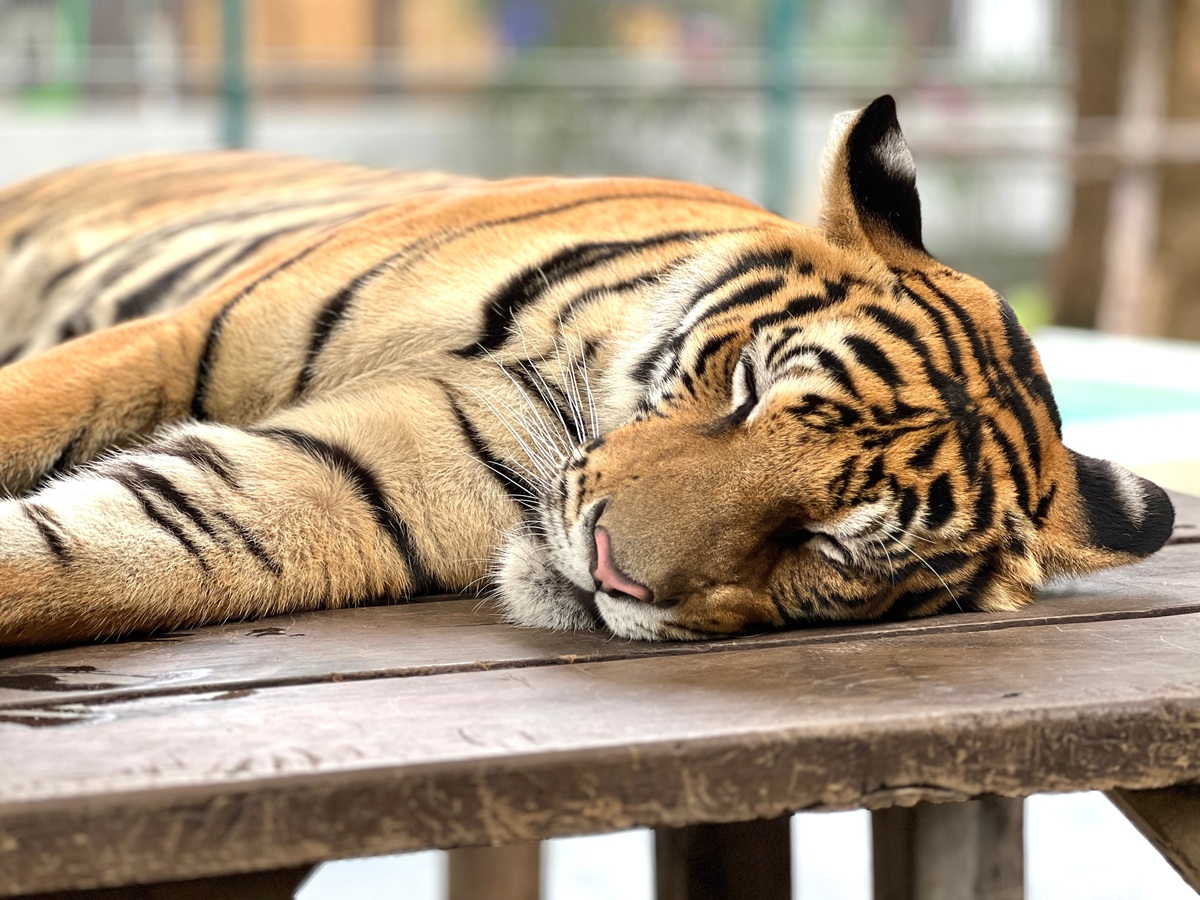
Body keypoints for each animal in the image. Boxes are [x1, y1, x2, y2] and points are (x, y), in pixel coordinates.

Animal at [0, 97, 1176, 648]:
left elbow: (94, 554)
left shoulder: (330, 487)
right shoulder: (178, 335)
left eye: (831, 546)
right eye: (749, 389)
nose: (612, 570)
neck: (568, 379)